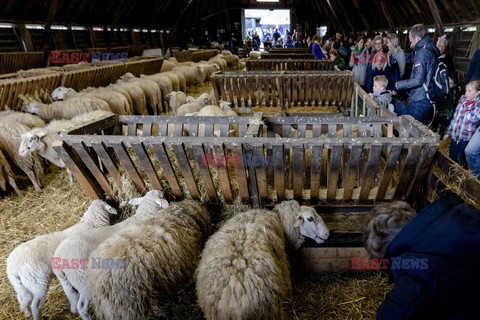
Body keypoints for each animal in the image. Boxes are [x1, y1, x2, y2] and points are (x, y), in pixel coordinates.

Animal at [52, 190, 168, 320]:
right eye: (160, 195)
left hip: (69, 285)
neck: (141, 216)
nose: (161, 190)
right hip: (83, 281)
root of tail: (58, 264)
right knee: (81, 306)